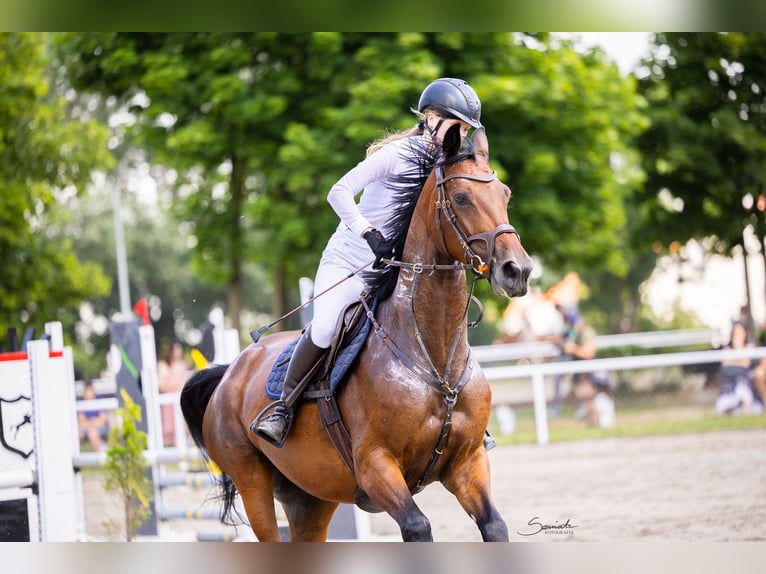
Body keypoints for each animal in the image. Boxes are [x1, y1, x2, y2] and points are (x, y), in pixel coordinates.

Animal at [181, 124, 533, 541]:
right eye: (461, 198)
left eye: (505, 195)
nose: (518, 270)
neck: (434, 359)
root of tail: (230, 373)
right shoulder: (375, 466)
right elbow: (418, 525)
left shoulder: (467, 463)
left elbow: (494, 525)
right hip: (252, 481)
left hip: (310, 496)